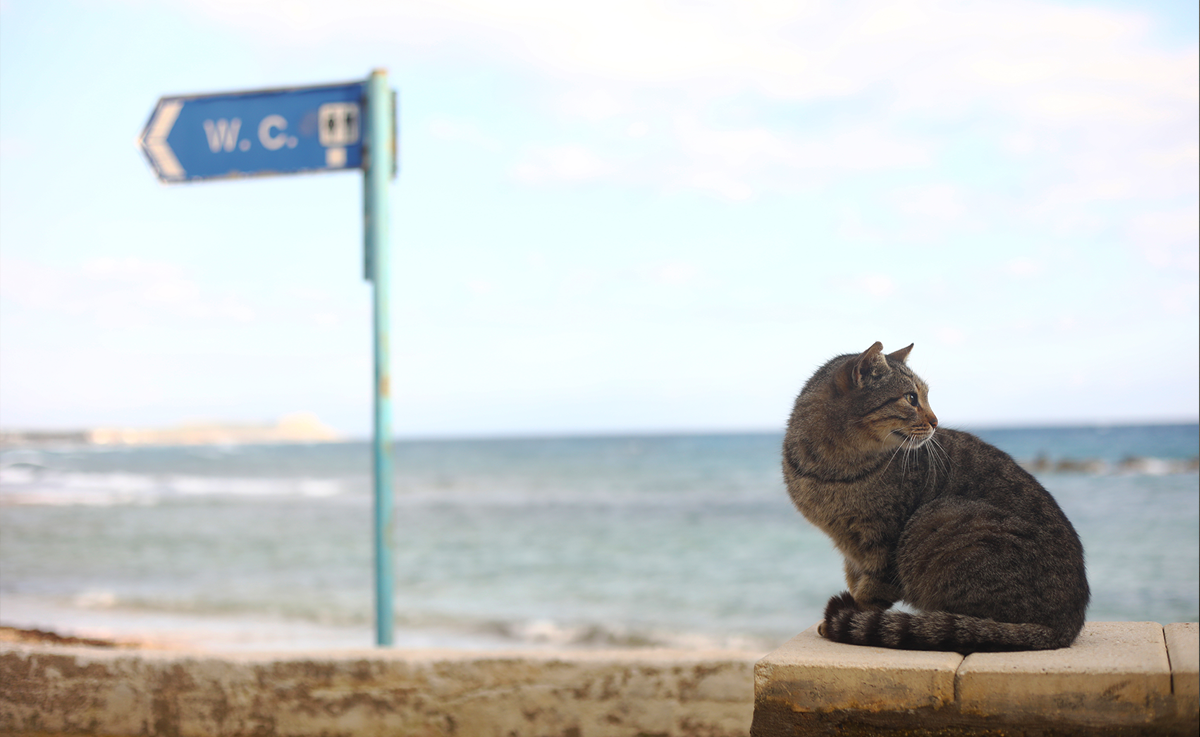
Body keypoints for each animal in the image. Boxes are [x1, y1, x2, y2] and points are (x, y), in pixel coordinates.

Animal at [782, 343, 1094, 657]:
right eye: (911, 398)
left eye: (925, 397)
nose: (935, 421)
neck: (831, 470)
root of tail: (1067, 627)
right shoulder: (850, 549)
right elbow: (855, 581)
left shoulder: (883, 545)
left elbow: (870, 592)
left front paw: (852, 615)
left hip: (937, 517)